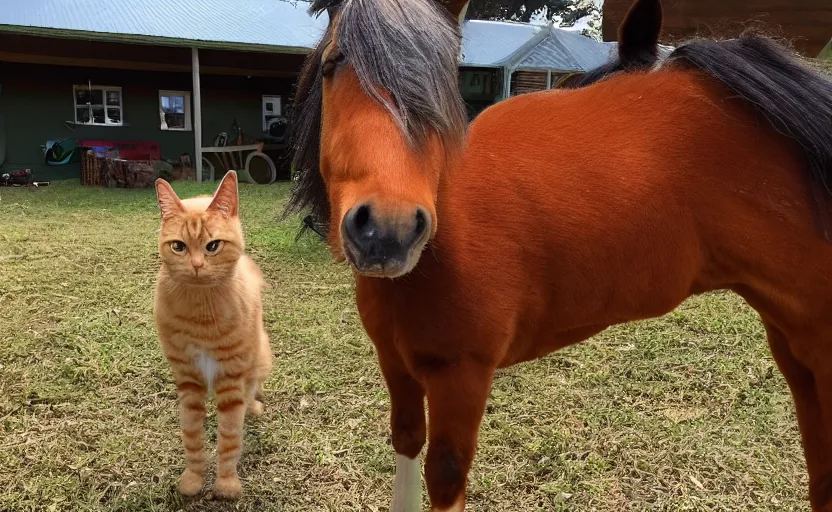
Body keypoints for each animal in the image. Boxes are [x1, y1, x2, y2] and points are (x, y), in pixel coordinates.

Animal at [153, 171, 272, 496]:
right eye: (178, 246)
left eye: (213, 246)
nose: (196, 265)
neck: (202, 313)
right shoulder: (187, 380)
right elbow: (192, 436)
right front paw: (194, 479)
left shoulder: (231, 380)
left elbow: (229, 438)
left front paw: (226, 484)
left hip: (258, 359)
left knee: (252, 388)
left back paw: (253, 406)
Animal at [286, 0, 832, 508]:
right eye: (333, 64)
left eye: (441, 77)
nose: (387, 230)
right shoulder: (396, 366)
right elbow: (405, 444)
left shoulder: (460, 379)